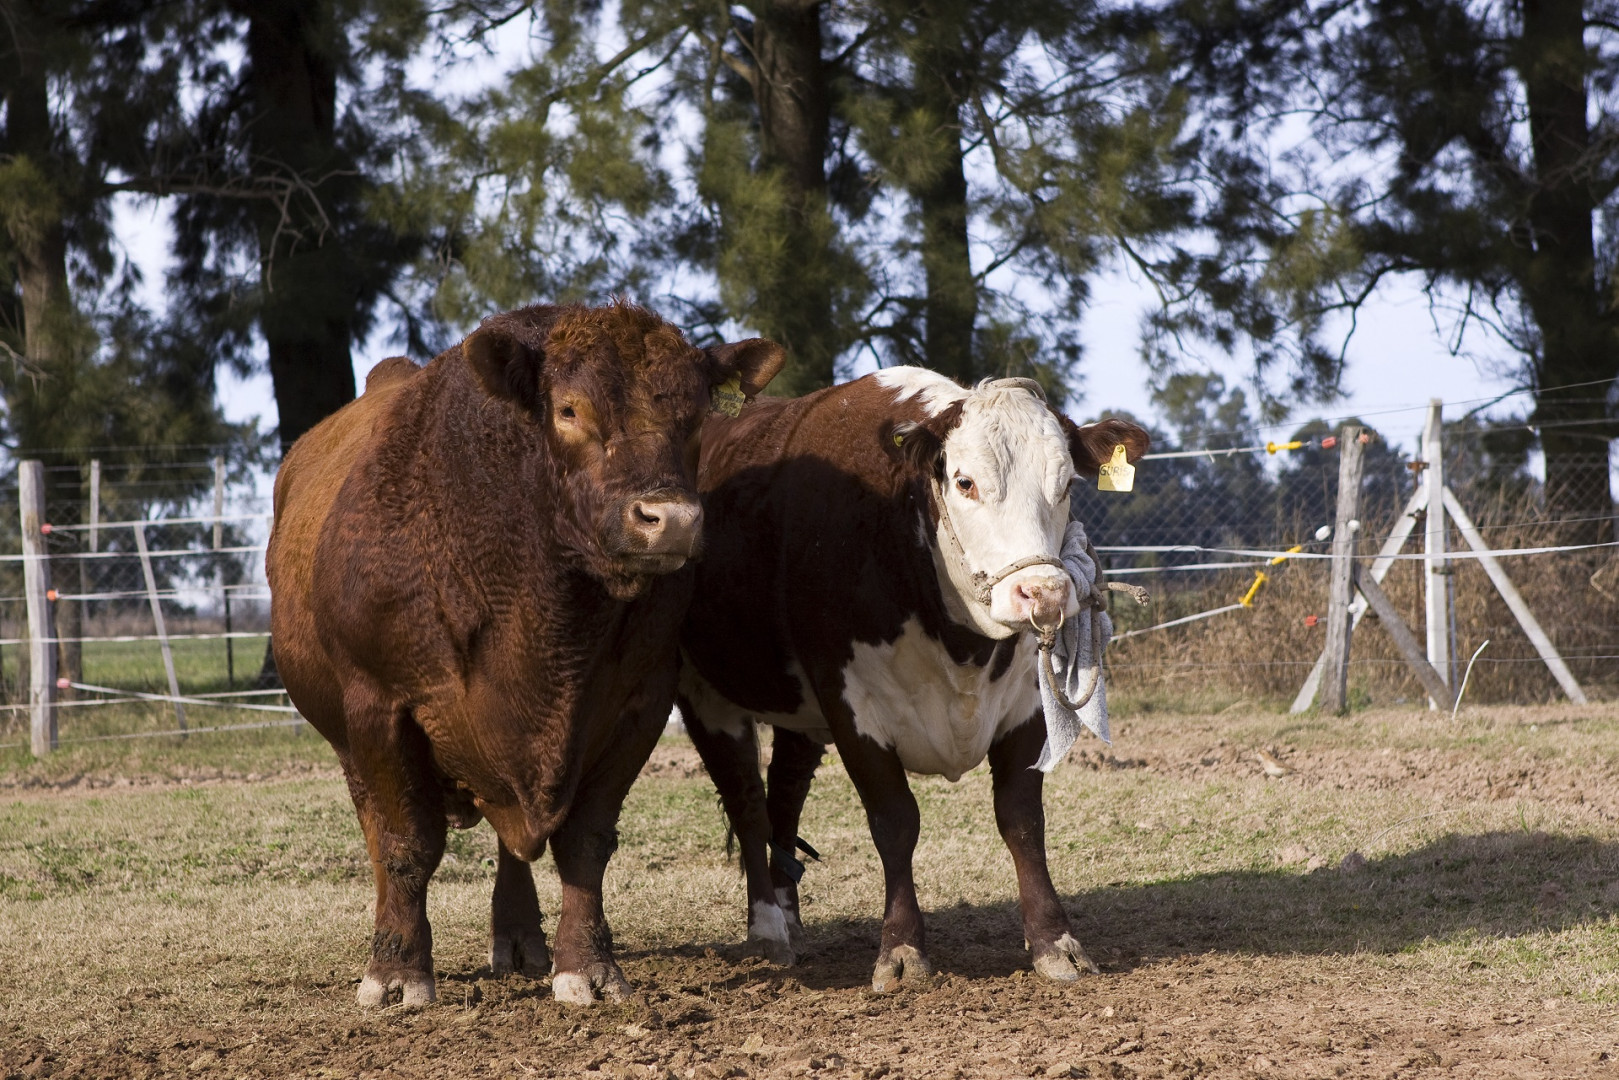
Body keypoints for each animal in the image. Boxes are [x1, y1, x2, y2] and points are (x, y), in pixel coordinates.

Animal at [267, 299, 783, 1010]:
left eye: (698, 414)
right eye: (568, 409)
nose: (670, 520)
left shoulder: (637, 705)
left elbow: (585, 841)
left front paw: (588, 965)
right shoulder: (379, 706)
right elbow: (405, 844)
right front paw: (397, 972)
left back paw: (517, 937)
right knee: (382, 835)